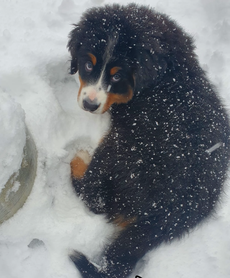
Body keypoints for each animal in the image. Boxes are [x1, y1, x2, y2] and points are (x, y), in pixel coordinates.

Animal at [67, 2, 229, 278]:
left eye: (117, 76)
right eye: (88, 65)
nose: (89, 105)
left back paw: (78, 158)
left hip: (120, 149)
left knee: (94, 198)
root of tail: (170, 212)